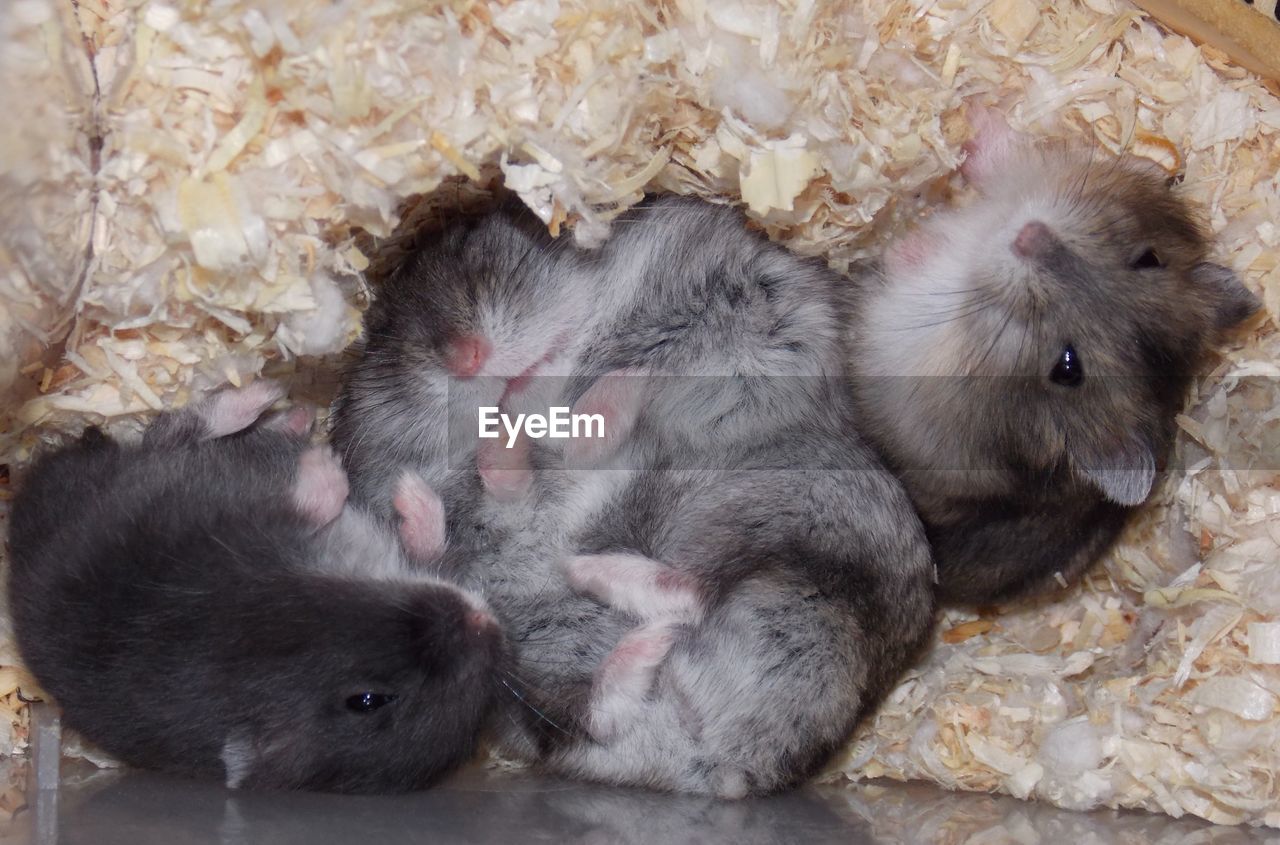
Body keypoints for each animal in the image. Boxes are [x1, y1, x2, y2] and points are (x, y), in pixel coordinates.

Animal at [12, 384, 509, 793]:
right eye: (368, 700)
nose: (487, 625)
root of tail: (34, 479)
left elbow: (428, 544)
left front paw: (405, 490)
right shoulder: (245, 527)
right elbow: (316, 504)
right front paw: (350, 470)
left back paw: (291, 415)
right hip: (153, 478)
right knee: (174, 431)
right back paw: (273, 403)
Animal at [327, 198, 931, 798]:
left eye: (471, 240)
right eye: (380, 332)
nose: (465, 358)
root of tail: (727, 768)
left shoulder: (769, 313)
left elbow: (672, 370)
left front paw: (623, 377)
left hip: (793, 539)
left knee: (692, 595)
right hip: (544, 655)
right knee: (595, 710)